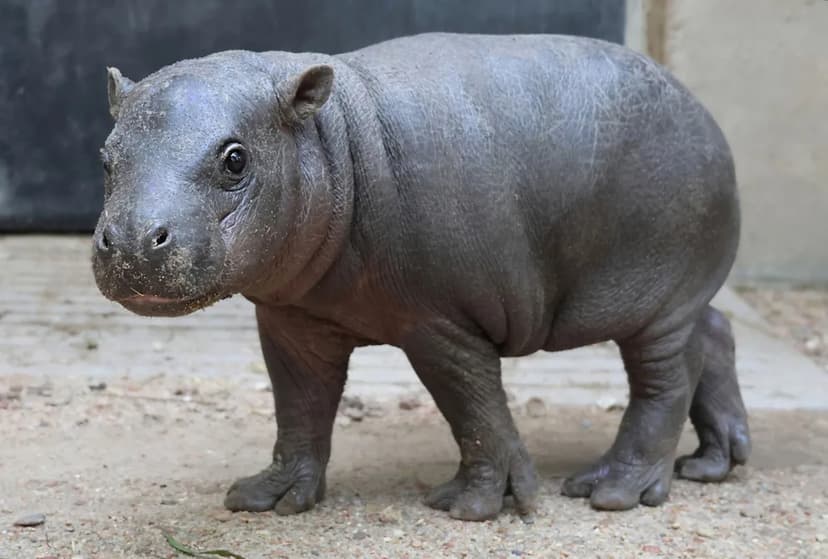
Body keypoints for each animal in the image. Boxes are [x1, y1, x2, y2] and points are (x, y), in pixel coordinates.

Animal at [92, 33, 750, 521]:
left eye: (236, 158)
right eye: (105, 157)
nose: (131, 240)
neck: (335, 142)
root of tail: (702, 111)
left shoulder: (442, 323)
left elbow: (475, 409)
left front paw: (472, 507)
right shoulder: (292, 321)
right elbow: (298, 406)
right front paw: (265, 498)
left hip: (656, 298)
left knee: (665, 379)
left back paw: (610, 491)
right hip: (677, 296)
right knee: (715, 332)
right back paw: (714, 463)